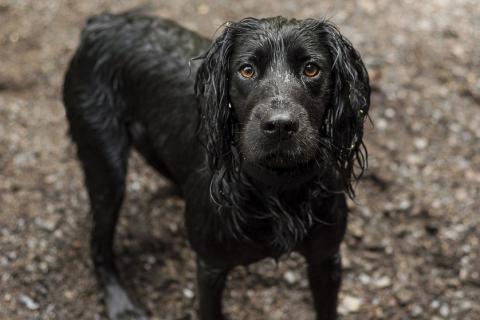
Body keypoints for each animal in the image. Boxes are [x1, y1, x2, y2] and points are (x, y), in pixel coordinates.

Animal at [62, 9, 372, 320]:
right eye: (246, 70)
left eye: (311, 69)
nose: (280, 125)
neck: (278, 186)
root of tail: (102, 21)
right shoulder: (211, 267)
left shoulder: (326, 258)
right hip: (106, 165)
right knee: (98, 245)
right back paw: (120, 303)